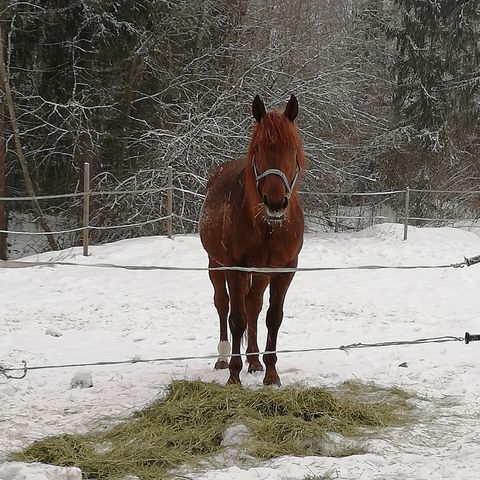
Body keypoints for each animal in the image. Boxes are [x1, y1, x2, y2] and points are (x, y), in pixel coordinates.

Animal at [200, 94, 306, 386]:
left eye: (292, 148)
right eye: (257, 147)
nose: (275, 203)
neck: (267, 226)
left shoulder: (284, 270)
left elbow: (273, 317)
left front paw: (271, 374)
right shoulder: (235, 268)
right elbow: (236, 319)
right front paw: (234, 376)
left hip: (260, 273)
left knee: (253, 305)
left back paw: (255, 361)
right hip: (216, 264)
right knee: (223, 304)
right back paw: (223, 359)